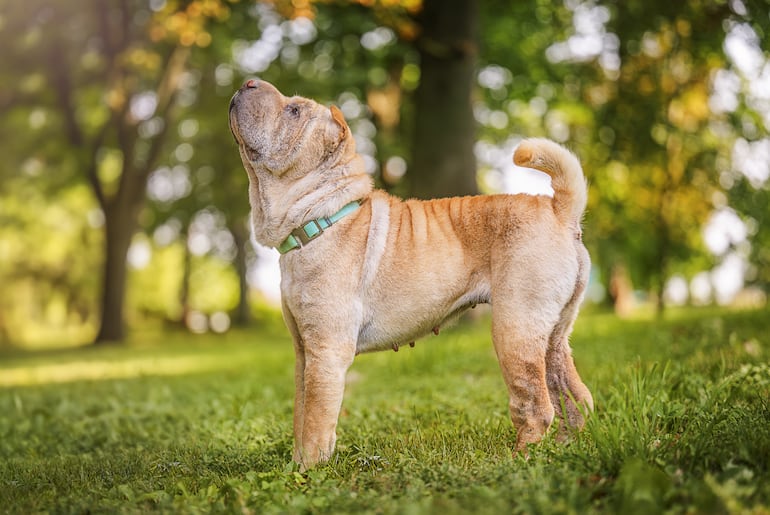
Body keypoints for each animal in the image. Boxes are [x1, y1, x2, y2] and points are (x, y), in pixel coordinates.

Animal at [228, 78, 592, 470]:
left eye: (294, 110)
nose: (248, 81)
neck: (321, 217)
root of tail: (560, 210)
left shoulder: (326, 352)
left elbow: (315, 421)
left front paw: (309, 470)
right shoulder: (303, 352)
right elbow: (301, 414)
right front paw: (297, 465)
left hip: (515, 329)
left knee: (536, 405)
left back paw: (518, 458)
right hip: (553, 336)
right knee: (573, 396)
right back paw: (566, 448)